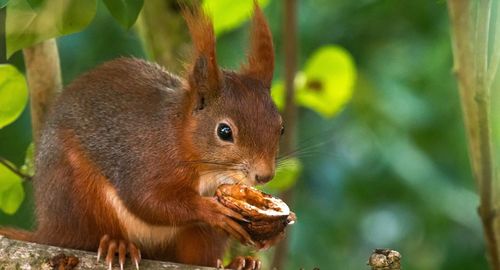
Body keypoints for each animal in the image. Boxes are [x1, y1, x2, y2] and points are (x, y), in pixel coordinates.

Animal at [0, 2, 282, 270]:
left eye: (280, 127)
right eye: (224, 131)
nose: (264, 176)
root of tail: (48, 231)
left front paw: (271, 236)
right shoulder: (143, 157)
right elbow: (146, 200)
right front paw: (210, 209)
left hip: (195, 238)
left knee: (199, 257)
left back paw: (239, 263)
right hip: (77, 195)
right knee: (85, 237)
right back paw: (116, 245)